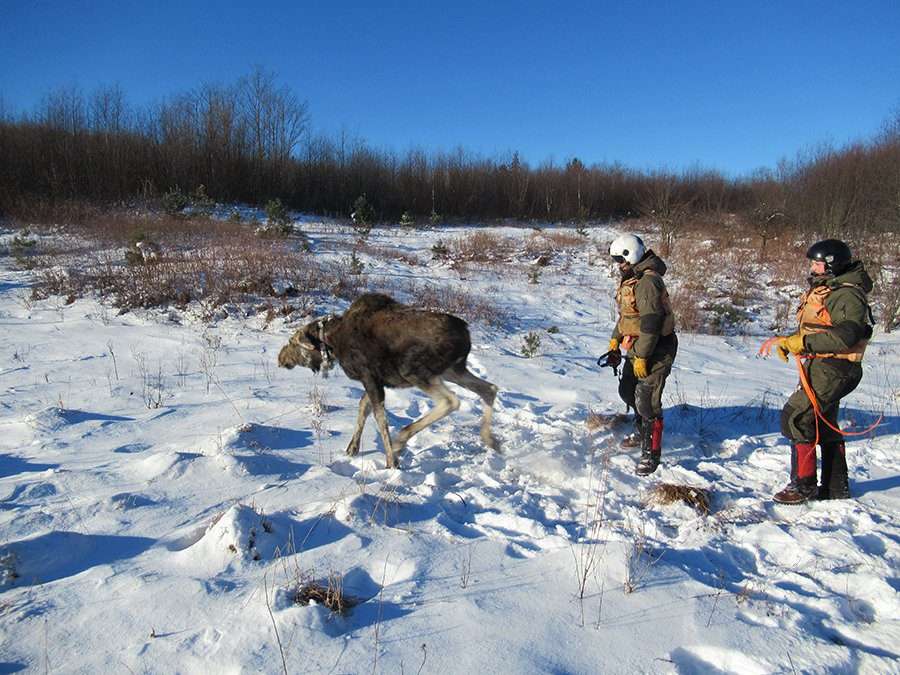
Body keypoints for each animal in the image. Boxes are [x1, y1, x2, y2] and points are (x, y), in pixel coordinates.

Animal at [278, 296, 496, 470]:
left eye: (292, 342)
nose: (280, 358)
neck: (333, 342)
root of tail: (466, 335)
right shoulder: (377, 381)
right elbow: (363, 408)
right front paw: (352, 448)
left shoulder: (370, 378)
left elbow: (380, 418)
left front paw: (391, 462)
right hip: (453, 370)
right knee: (490, 388)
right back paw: (490, 439)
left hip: (414, 370)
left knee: (451, 400)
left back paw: (402, 439)